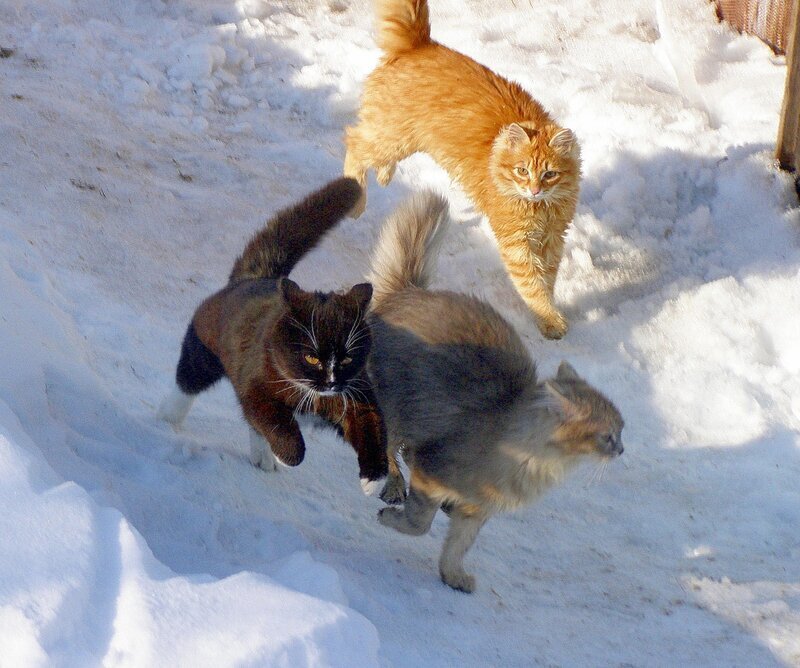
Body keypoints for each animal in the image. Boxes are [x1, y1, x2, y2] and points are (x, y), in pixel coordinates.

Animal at [156, 180, 388, 494]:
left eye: (347, 358)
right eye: (311, 357)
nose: (330, 382)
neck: (314, 397)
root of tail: (254, 278)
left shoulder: (357, 393)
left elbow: (372, 428)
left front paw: (374, 481)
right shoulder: (256, 385)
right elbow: (276, 423)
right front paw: (287, 454)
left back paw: (262, 456)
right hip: (204, 350)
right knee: (189, 381)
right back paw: (167, 417)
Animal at [344, 0, 580, 336]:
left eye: (549, 174)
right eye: (521, 171)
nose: (534, 189)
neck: (541, 209)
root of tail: (420, 43)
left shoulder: (553, 238)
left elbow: (547, 279)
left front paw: (550, 313)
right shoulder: (517, 243)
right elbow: (532, 286)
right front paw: (549, 319)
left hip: (397, 139)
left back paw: (385, 176)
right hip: (392, 137)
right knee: (354, 142)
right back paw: (357, 199)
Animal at [368, 190, 624, 592]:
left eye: (621, 432)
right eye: (609, 436)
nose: (622, 449)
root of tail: (410, 292)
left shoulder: (478, 511)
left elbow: (456, 547)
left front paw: (453, 576)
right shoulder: (433, 470)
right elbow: (418, 524)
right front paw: (390, 516)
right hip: (396, 403)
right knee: (391, 447)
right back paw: (393, 484)